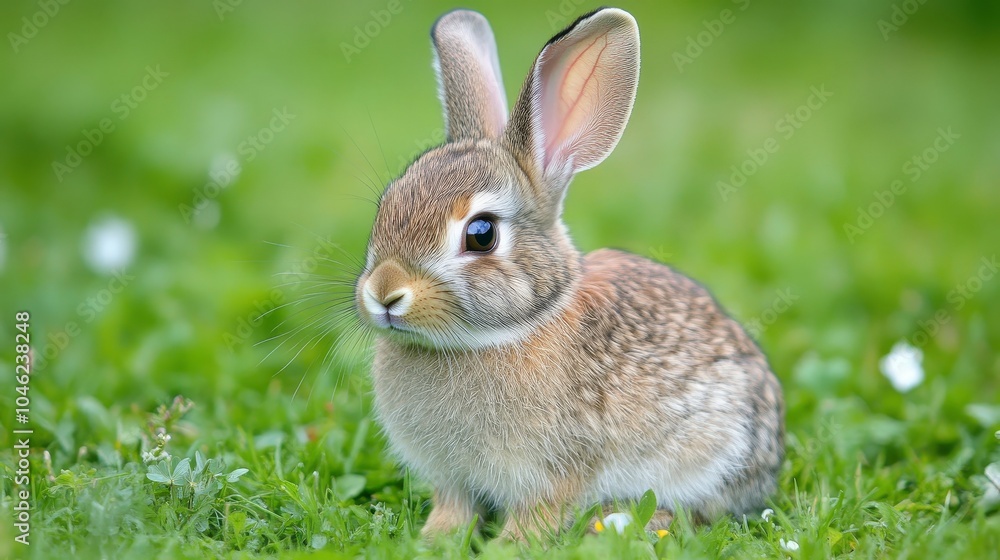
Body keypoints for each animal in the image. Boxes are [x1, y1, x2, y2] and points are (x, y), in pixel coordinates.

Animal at [354, 7, 784, 540]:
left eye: (481, 234)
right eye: (384, 207)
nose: (384, 293)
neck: (503, 333)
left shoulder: (556, 471)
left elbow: (536, 517)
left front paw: (506, 546)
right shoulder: (451, 480)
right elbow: (453, 510)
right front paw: (434, 541)